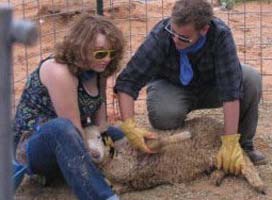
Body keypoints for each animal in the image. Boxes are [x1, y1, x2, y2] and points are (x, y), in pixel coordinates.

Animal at [84, 117, 266, 194]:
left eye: (99, 137)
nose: (95, 154)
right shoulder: (130, 182)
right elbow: (118, 187)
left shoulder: (146, 144)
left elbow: (162, 140)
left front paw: (184, 135)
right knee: (228, 167)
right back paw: (216, 177)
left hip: (216, 149)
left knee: (245, 161)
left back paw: (259, 185)